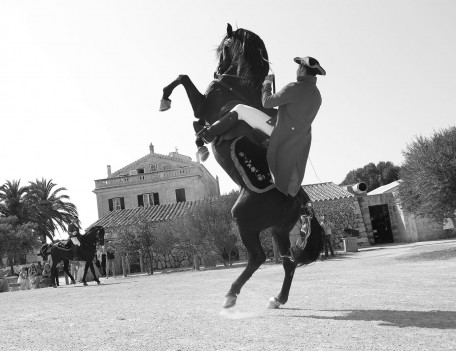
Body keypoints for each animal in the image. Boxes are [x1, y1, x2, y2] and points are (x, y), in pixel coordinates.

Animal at [160, 24, 324, 308]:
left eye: (224, 48)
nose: (217, 71)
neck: (238, 86)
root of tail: (301, 201)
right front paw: (200, 140)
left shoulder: (203, 105)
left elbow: (183, 79)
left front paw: (166, 101)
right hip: (279, 230)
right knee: (288, 262)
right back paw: (278, 299)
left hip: (243, 219)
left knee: (257, 257)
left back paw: (231, 295)